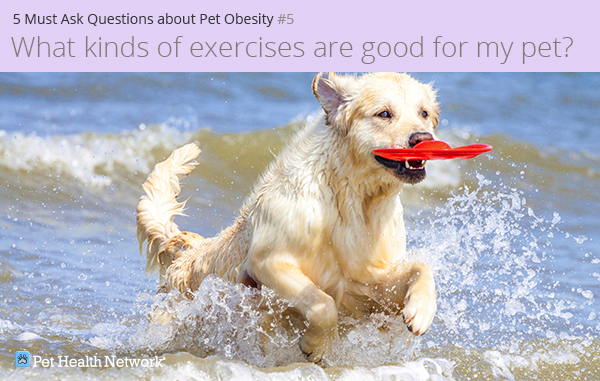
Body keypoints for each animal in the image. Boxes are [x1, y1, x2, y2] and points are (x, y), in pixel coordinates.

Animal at [138, 72, 438, 362]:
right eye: (384, 113)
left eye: (424, 113)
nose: (423, 139)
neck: (351, 202)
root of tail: (183, 251)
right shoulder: (267, 262)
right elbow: (322, 303)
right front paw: (315, 346)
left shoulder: (370, 283)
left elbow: (421, 266)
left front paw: (421, 311)